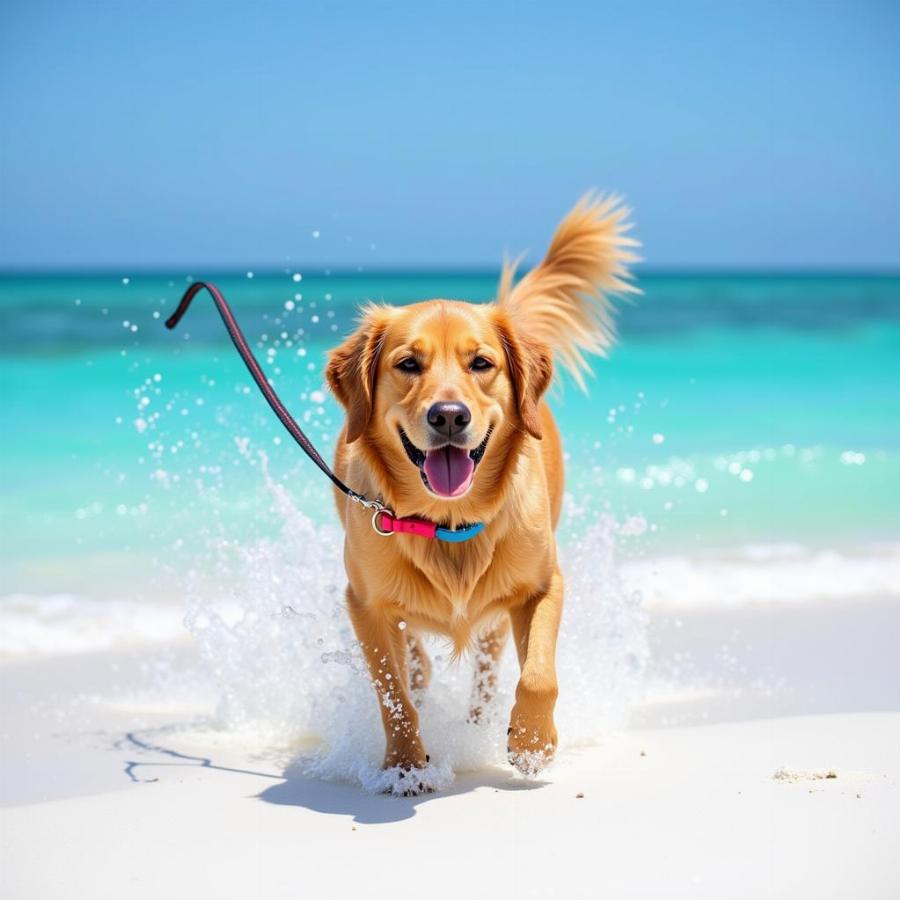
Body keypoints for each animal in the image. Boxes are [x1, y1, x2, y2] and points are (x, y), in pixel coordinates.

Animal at [326, 192, 636, 788]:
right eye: (408, 363)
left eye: (481, 363)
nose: (449, 415)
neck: (448, 523)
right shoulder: (364, 603)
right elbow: (393, 689)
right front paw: (404, 766)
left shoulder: (544, 585)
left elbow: (538, 675)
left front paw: (533, 742)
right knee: (416, 663)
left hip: (499, 616)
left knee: (492, 669)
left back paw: (482, 722)